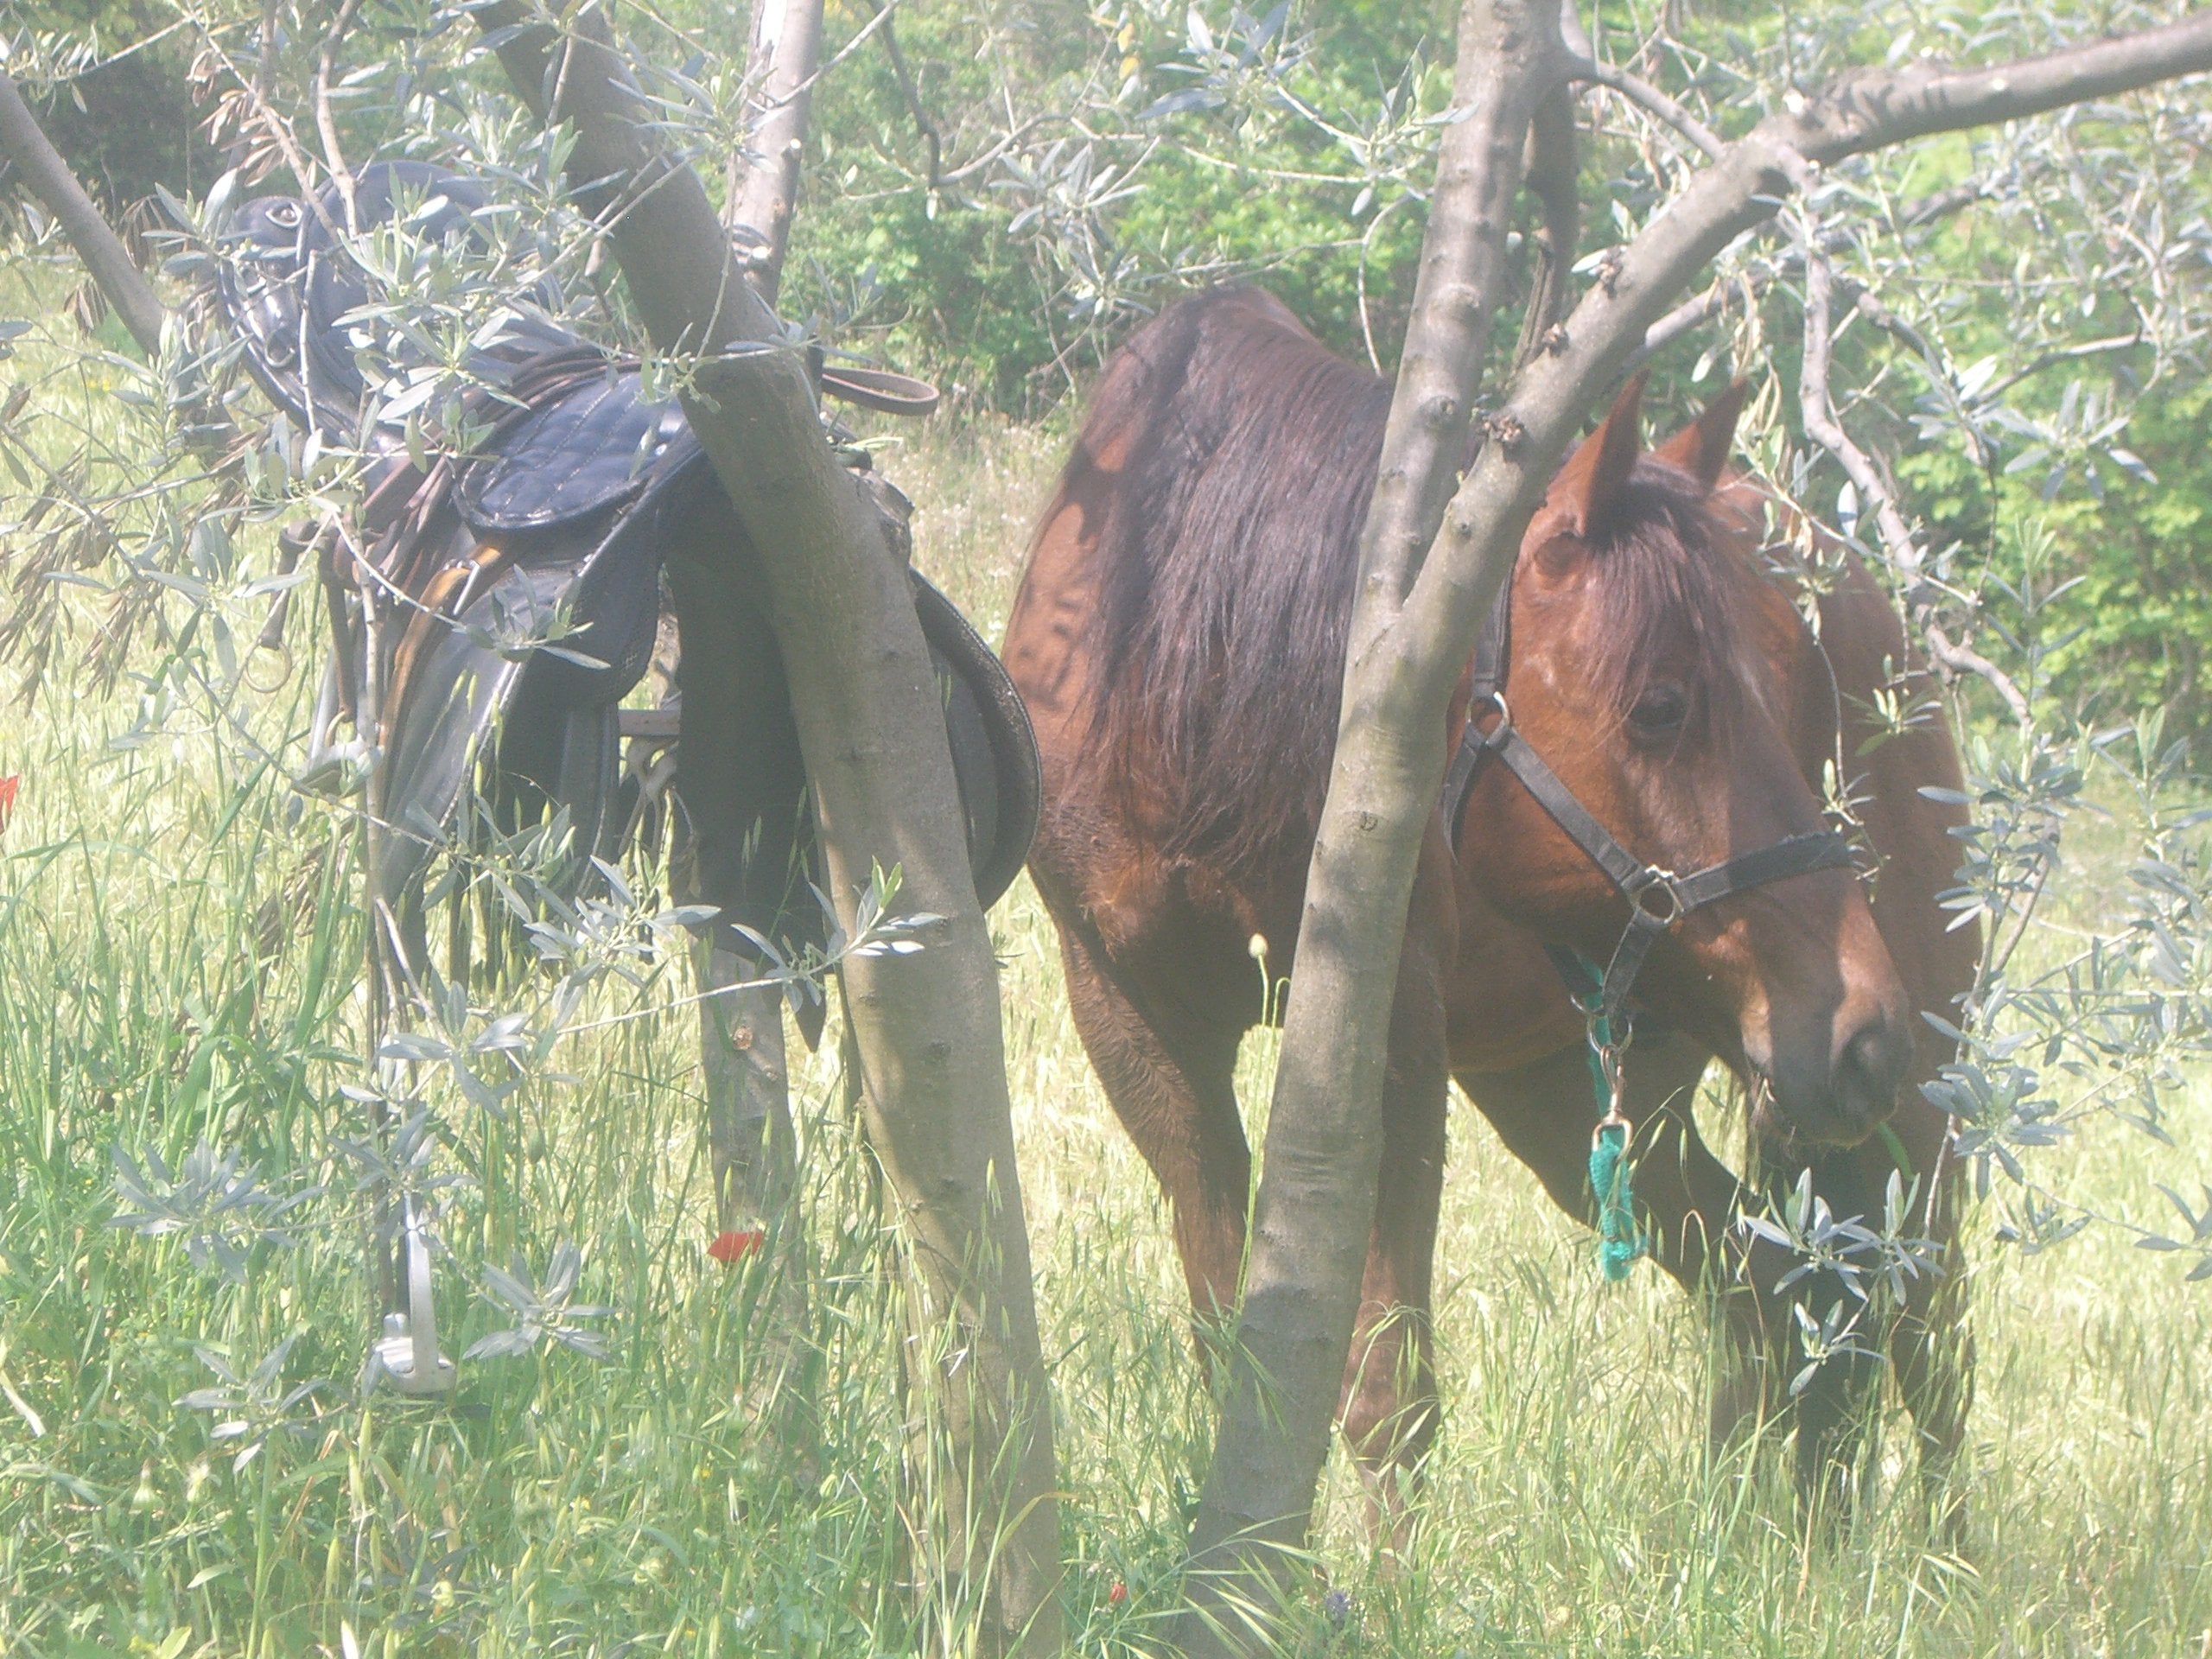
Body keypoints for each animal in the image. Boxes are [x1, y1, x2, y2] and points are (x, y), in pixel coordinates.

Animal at [1004, 283, 1973, 1522]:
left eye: (1794, 687)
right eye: (1660, 705)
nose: (1861, 1028)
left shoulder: (1389, 1043)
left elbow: (1388, 1391)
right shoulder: (1138, 1024)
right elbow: (1231, 1349)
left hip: (1907, 1111)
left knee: (1924, 1326)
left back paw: (1928, 1552)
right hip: (1581, 1092)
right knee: (1772, 1295)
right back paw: (1764, 1534)